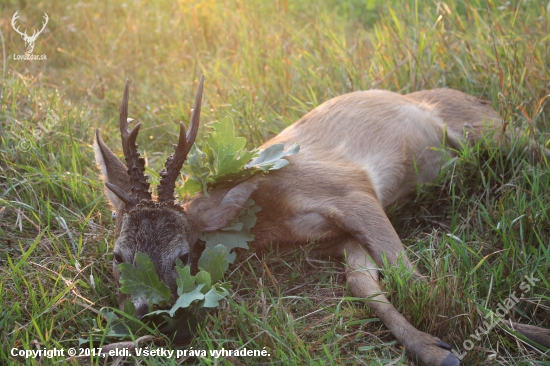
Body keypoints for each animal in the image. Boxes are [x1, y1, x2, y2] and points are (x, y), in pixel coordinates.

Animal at [95, 76, 550, 364]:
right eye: (118, 256)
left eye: (185, 255)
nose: (150, 313)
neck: (270, 209)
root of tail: (480, 100)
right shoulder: (338, 235)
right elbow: (364, 283)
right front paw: (434, 349)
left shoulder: (352, 189)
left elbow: (417, 279)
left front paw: (527, 332)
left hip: (488, 132)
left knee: (536, 144)